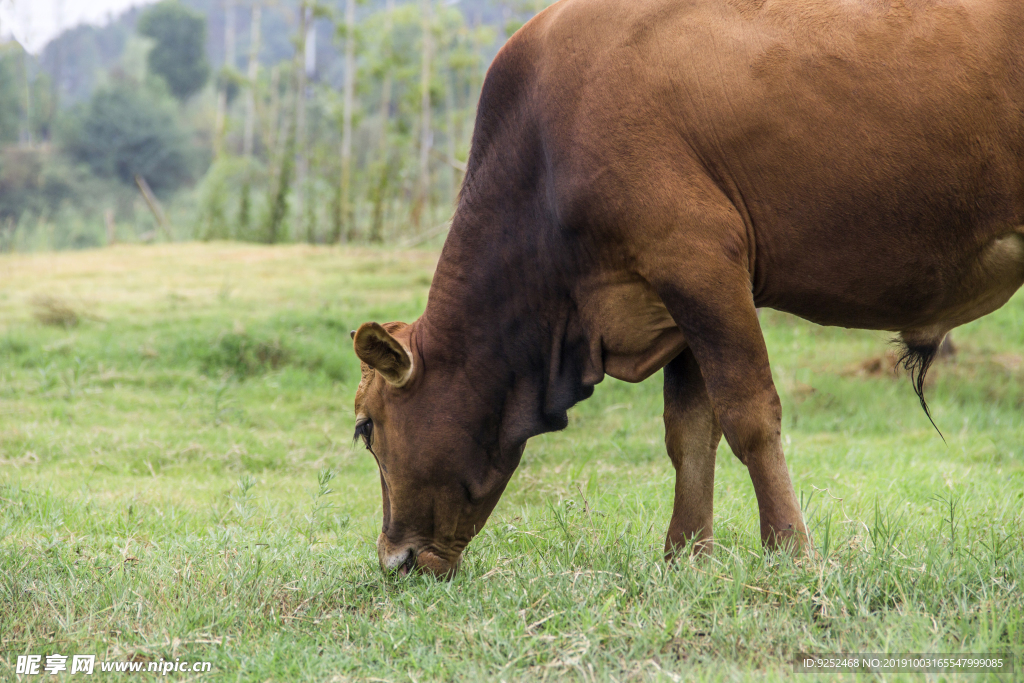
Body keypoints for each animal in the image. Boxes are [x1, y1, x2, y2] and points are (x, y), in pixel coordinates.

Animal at [350, 0, 1024, 577]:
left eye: (365, 428)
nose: (393, 559)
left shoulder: (699, 262)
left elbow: (750, 416)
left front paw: (791, 552)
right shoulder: (676, 301)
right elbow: (690, 431)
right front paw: (685, 555)